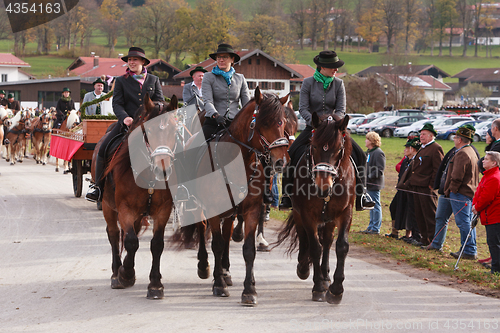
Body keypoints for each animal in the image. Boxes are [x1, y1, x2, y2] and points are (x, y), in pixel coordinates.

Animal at [94, 93, 179, 298]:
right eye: (148, 130)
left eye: (174, 130)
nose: (163, 170)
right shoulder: (125, 209)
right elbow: (131, 241)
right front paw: (126, 274)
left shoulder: (163, 210)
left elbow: (157, 244)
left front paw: (155, 284)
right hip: (108, 207)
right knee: (114, 234)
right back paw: (116, 272)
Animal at [180, 87, 290, 304]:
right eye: (265, 122)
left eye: (282, 121)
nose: (281, 161)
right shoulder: (214, 211)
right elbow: (216, 244)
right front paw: (218, 284)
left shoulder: (251, 211)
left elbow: (248, 250)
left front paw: (249, 290)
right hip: (199, 205)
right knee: (202, 228)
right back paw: (205, 267)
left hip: (231, 212)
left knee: (228, 233)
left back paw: (226, 271)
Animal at [276, 112, 354, 304]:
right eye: (314, 146)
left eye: (339, 149)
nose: (323, 187)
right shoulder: (307, 215)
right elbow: (314, 247)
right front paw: (318, 287)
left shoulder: (345, 213)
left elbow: (341, 246)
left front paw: (336, 290)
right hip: (299, 214)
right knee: (305, 238)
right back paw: (304, 268)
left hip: (329, 219)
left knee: (327, 241)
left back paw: (326, 277)